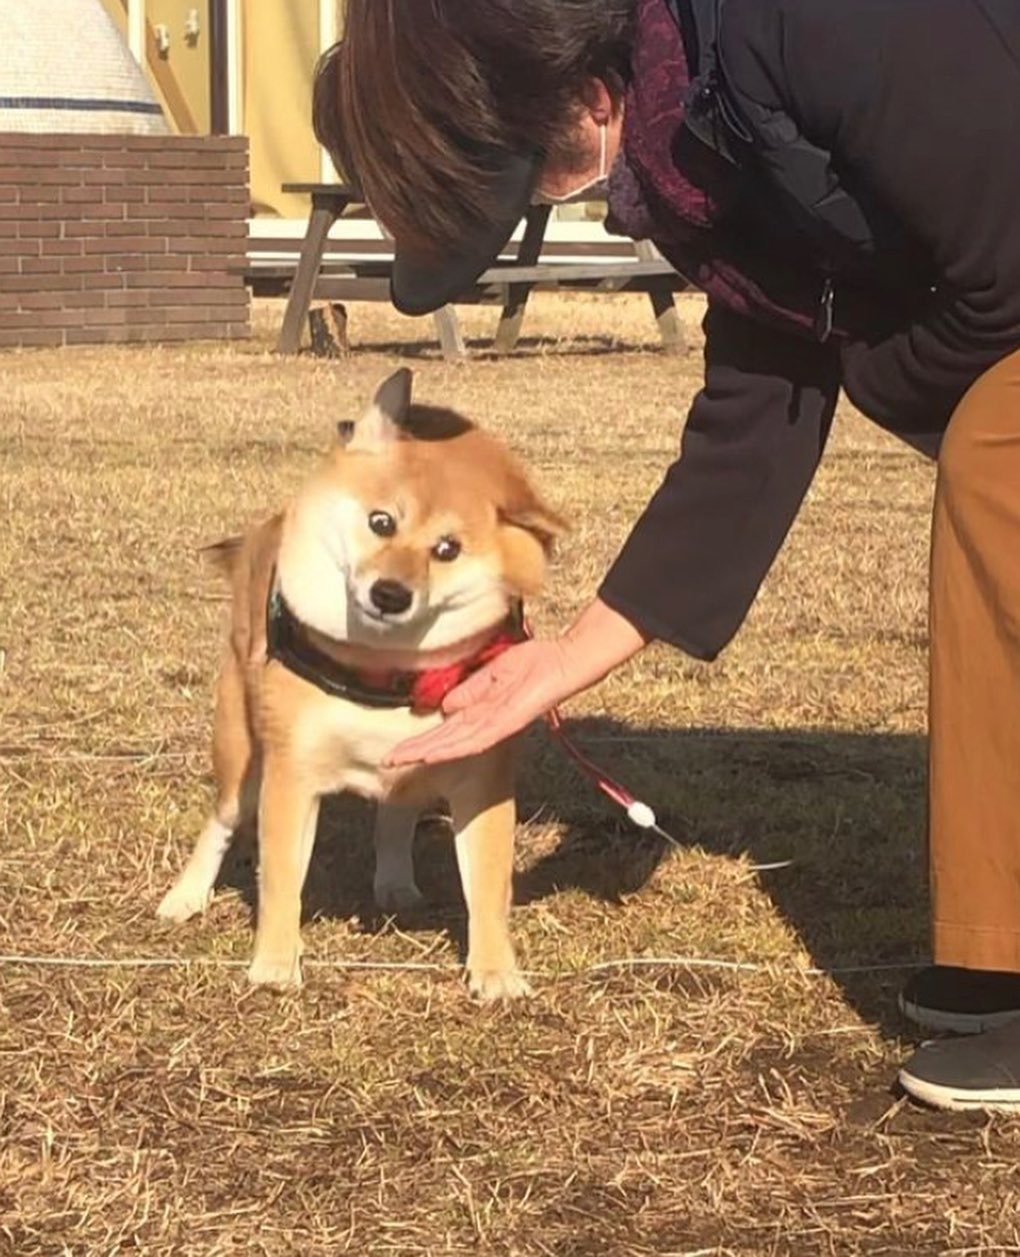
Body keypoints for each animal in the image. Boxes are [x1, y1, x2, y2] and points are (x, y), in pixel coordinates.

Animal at [157, 367, 565, 1000]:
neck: (387, 671)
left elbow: (488, 888)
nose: (390, 594)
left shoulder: (482, 780)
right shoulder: (291, 774)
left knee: (394, 814)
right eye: (382, 522)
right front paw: (275, 963)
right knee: (220, 821)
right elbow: (280, 880)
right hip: (240, 753)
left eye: (447, 549)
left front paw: (497, 971)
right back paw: (185, 895)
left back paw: (396, 882)